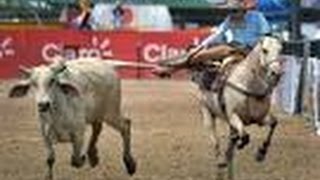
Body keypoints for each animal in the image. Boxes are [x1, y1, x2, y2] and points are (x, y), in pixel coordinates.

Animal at [8, 58, 156, 179]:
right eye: (33, 83)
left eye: (52, 81)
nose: (43, 104)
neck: (57, 114)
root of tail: (106, 63)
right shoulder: (45, 135)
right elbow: (50, 159)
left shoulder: (78, 133)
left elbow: (76, 160)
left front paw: (83, 157)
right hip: (98, 113)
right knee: (98, 127)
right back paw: (93, 156)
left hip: (111, 112)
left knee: (125, 125)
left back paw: (129, 164)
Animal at [196, 35, 284, 179]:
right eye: (265, 50)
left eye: (280, 50)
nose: (276, 73)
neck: (248, 86)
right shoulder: (233, 116)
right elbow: (245, 136)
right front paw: (242, 144)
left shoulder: (260, 118)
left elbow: (274, 123)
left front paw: (261, 153)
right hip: (207, 113)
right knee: (216, 143)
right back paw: (221, 163)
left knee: (230, 149)